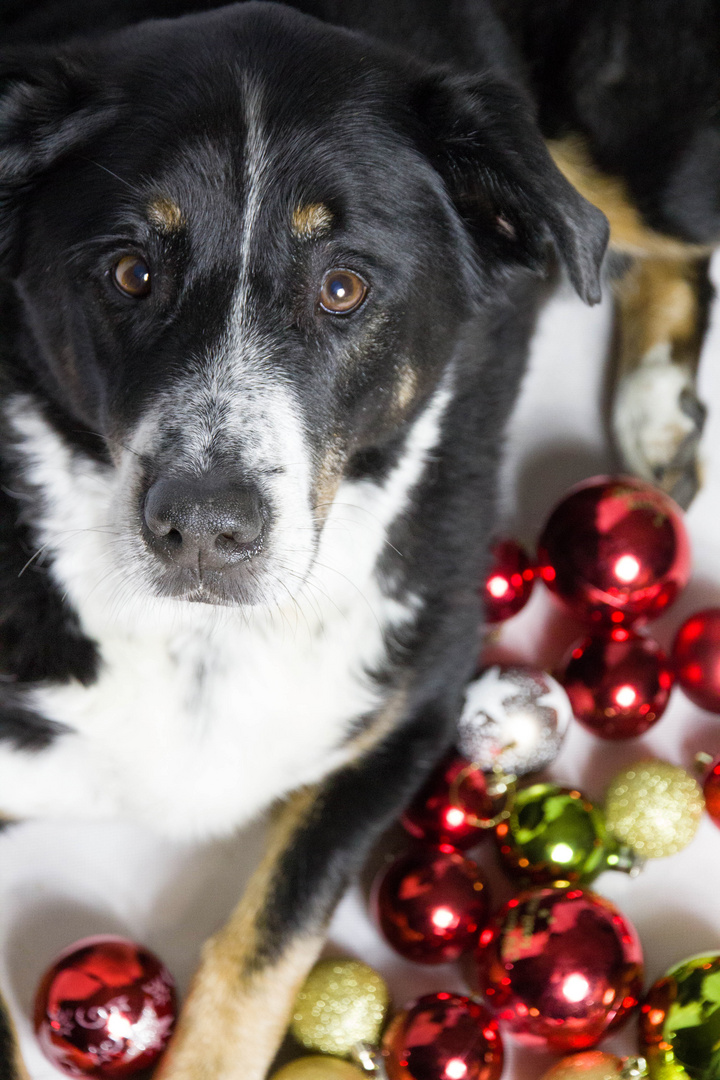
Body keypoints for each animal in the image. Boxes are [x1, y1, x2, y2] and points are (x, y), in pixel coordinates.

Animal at [1, 2, 716, 1080]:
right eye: (130, 273)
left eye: (342, 288)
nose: (203, 528)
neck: (202, 645)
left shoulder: (412, 707)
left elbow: (260, 953)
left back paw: (657, 404)